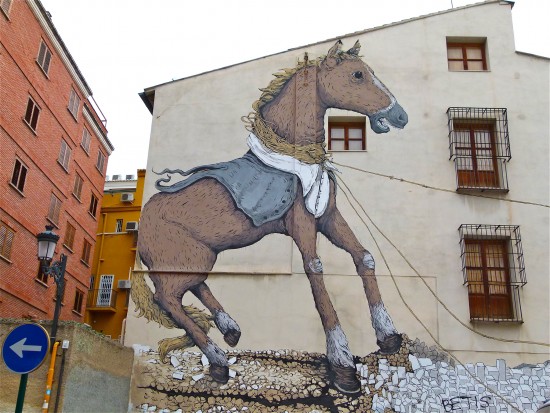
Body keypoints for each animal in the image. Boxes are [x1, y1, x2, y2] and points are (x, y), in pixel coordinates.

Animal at [135, 41, 410, 392]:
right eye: (358, 75)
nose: (399, 115)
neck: (292, 158)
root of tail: (141, 224)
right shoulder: (302, 224)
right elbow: (315, 270)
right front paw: (343, 366)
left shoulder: (329, 217)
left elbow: (364, 257)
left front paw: (388, 336)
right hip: (187, 261)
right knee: (168, 300)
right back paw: (219, 361)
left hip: (195, 259)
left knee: (194, 287)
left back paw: (230, 329)